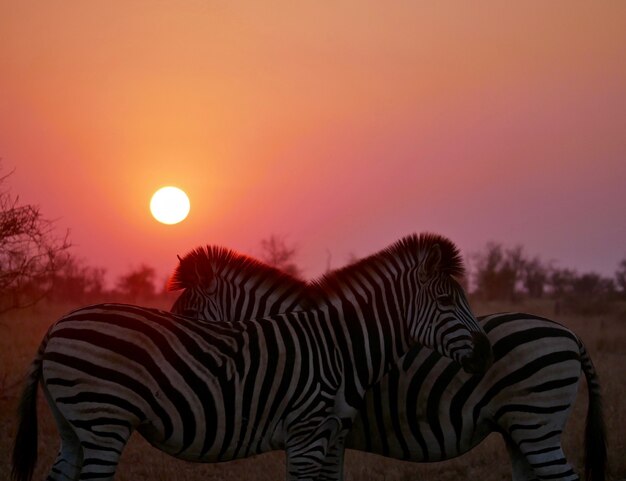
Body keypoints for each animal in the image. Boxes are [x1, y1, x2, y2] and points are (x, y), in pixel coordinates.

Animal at [11, 232, 492, 480]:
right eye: (447, 301)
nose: (486, 354)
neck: (339, 345)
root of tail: (55, 326)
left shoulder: (330, 435)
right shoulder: (307, 435)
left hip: (74, 425)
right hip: (103, 419)